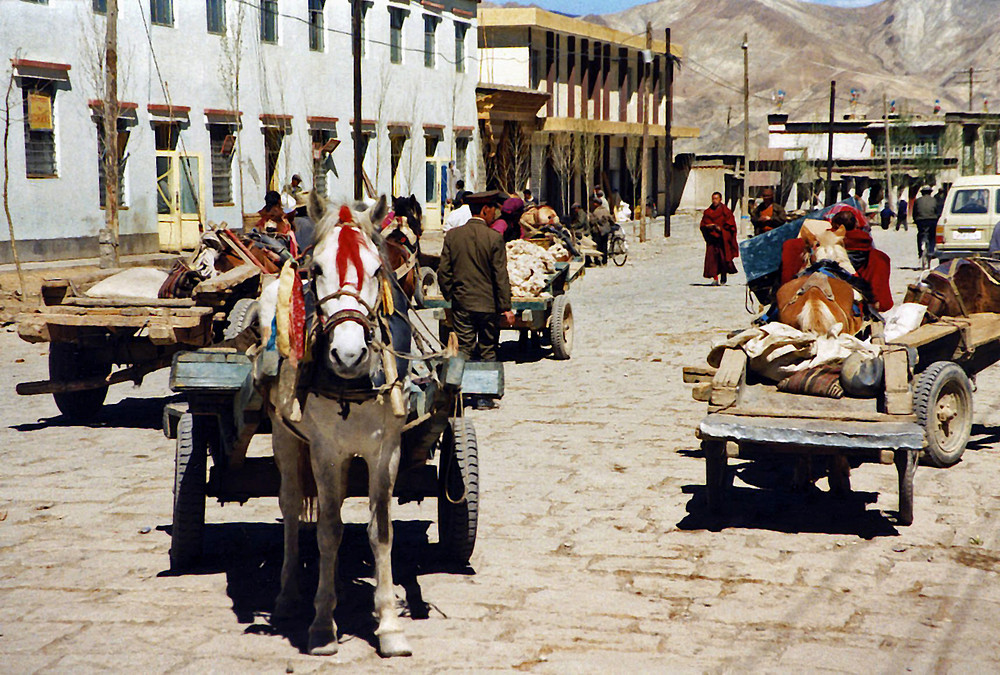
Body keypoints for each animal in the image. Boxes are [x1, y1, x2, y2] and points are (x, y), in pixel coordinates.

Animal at [262, 193, 414, 656]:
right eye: (316, 270)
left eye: (378, 269)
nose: (348, 355)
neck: (354, 383)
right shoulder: (325, 451)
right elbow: (328, 531)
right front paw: (322, 625)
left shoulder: (386, 449)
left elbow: (380, 532)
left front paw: (389, 624)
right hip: (285, 437)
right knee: (292, 508)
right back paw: (288, 596)